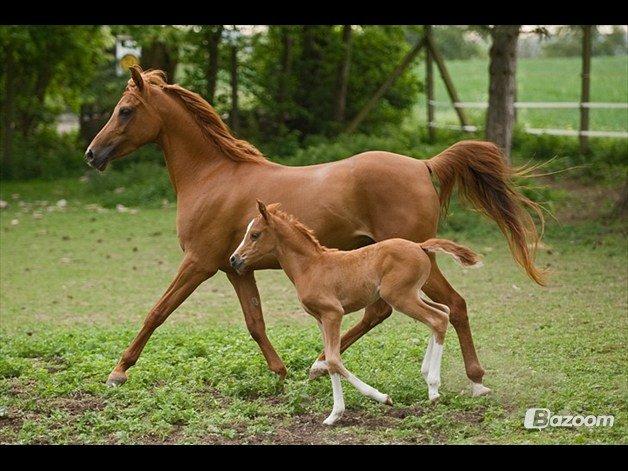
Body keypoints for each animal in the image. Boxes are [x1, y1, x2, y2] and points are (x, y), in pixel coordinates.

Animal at [84, 67, 544, 398]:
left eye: (125, 110)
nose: (92, 154)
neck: (213, 176)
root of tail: (422, 164)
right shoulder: (234, 267)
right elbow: (255, 322)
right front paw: (280, 372)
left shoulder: (199, 262)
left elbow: (157, 312)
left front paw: (118, 372)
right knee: (383, 312)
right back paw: (322, 364)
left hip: (418, 260)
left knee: (453, 306)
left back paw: (475, 380)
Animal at [231, 201, 480, 426]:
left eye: (254, 234)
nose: (234, 259)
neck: (311, 267)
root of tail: (420, 246)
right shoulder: (321, 319)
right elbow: (330, 359)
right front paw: (334, 416)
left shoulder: (333, 313)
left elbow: (333, 360)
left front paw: (381, 398)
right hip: (411, 294)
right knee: (443, 312)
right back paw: (427, 373)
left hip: (400, 297)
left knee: (437, 319)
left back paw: (433, 388)